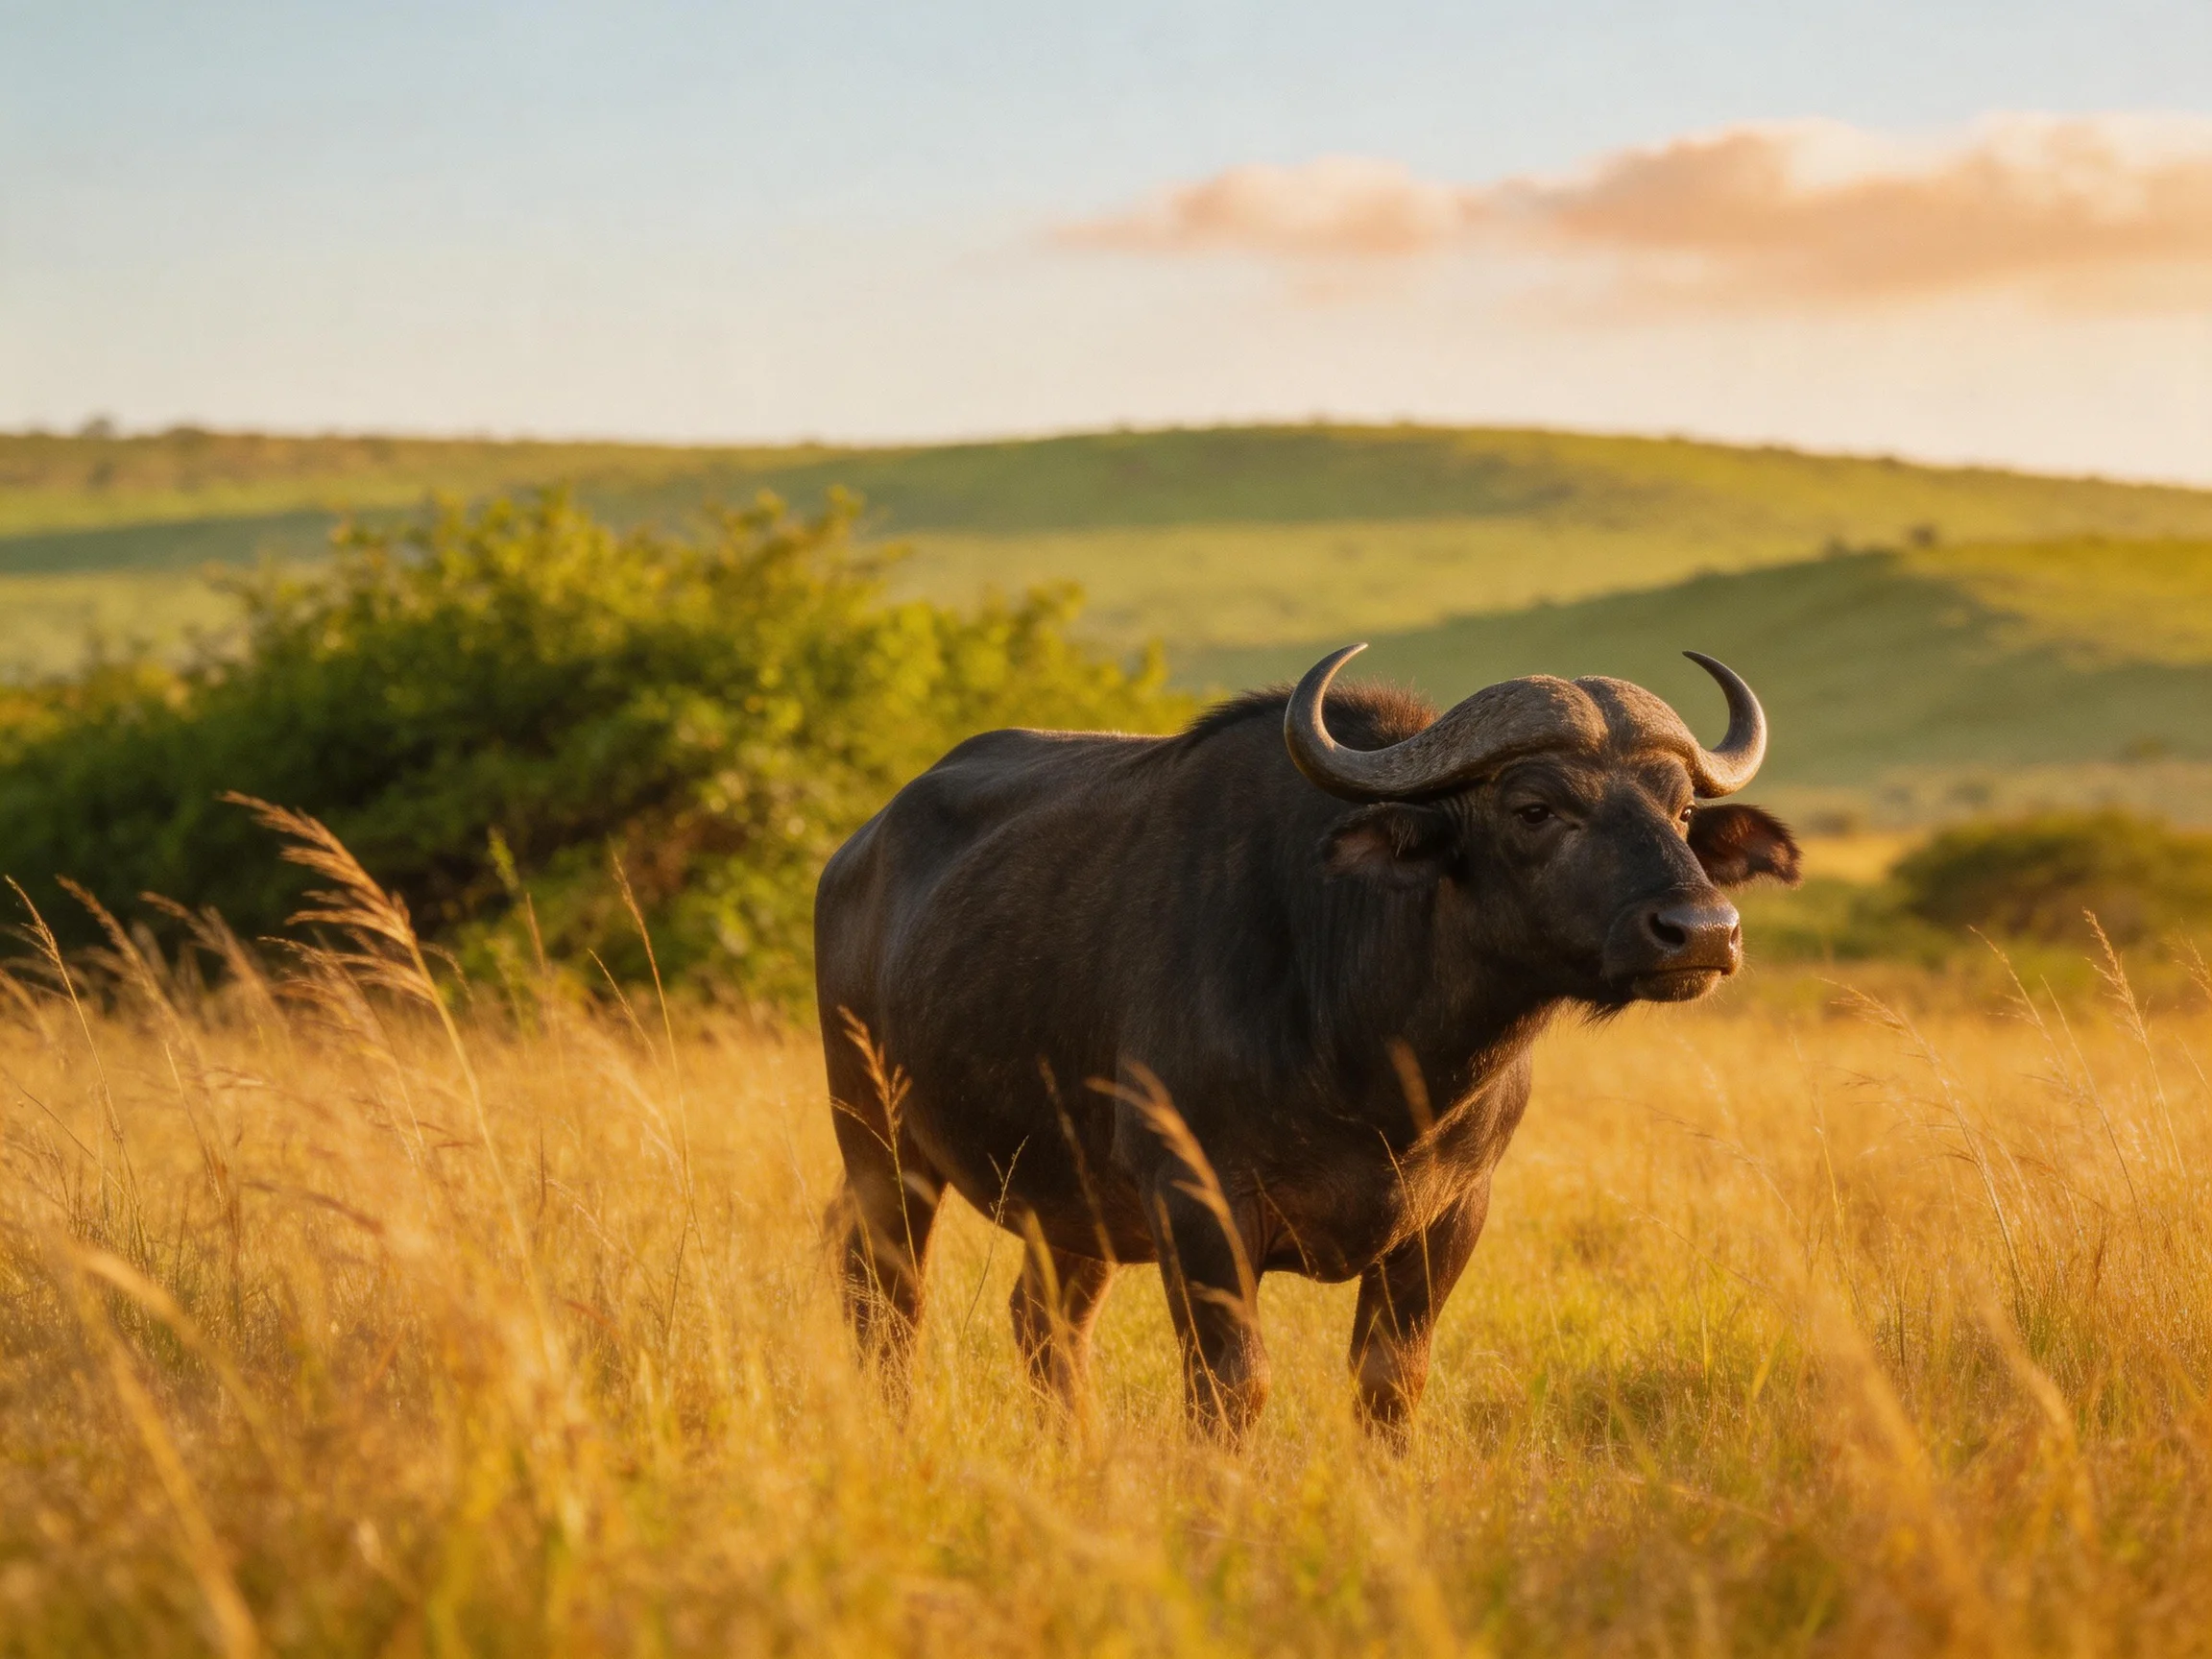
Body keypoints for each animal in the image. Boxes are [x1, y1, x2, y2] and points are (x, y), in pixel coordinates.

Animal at [815, 645, 1800, 1438]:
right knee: (884, 1299)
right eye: (1534, 807)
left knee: (1044, 1328)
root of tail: (855, 852)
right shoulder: (1198, 1207)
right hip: (880, 1145)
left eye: (1680, 812)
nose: (1703, 930)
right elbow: (1232, 1387)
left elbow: (1390, 1388)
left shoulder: (1451, 1217)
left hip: (1070, 1206)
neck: (1375, 1055)